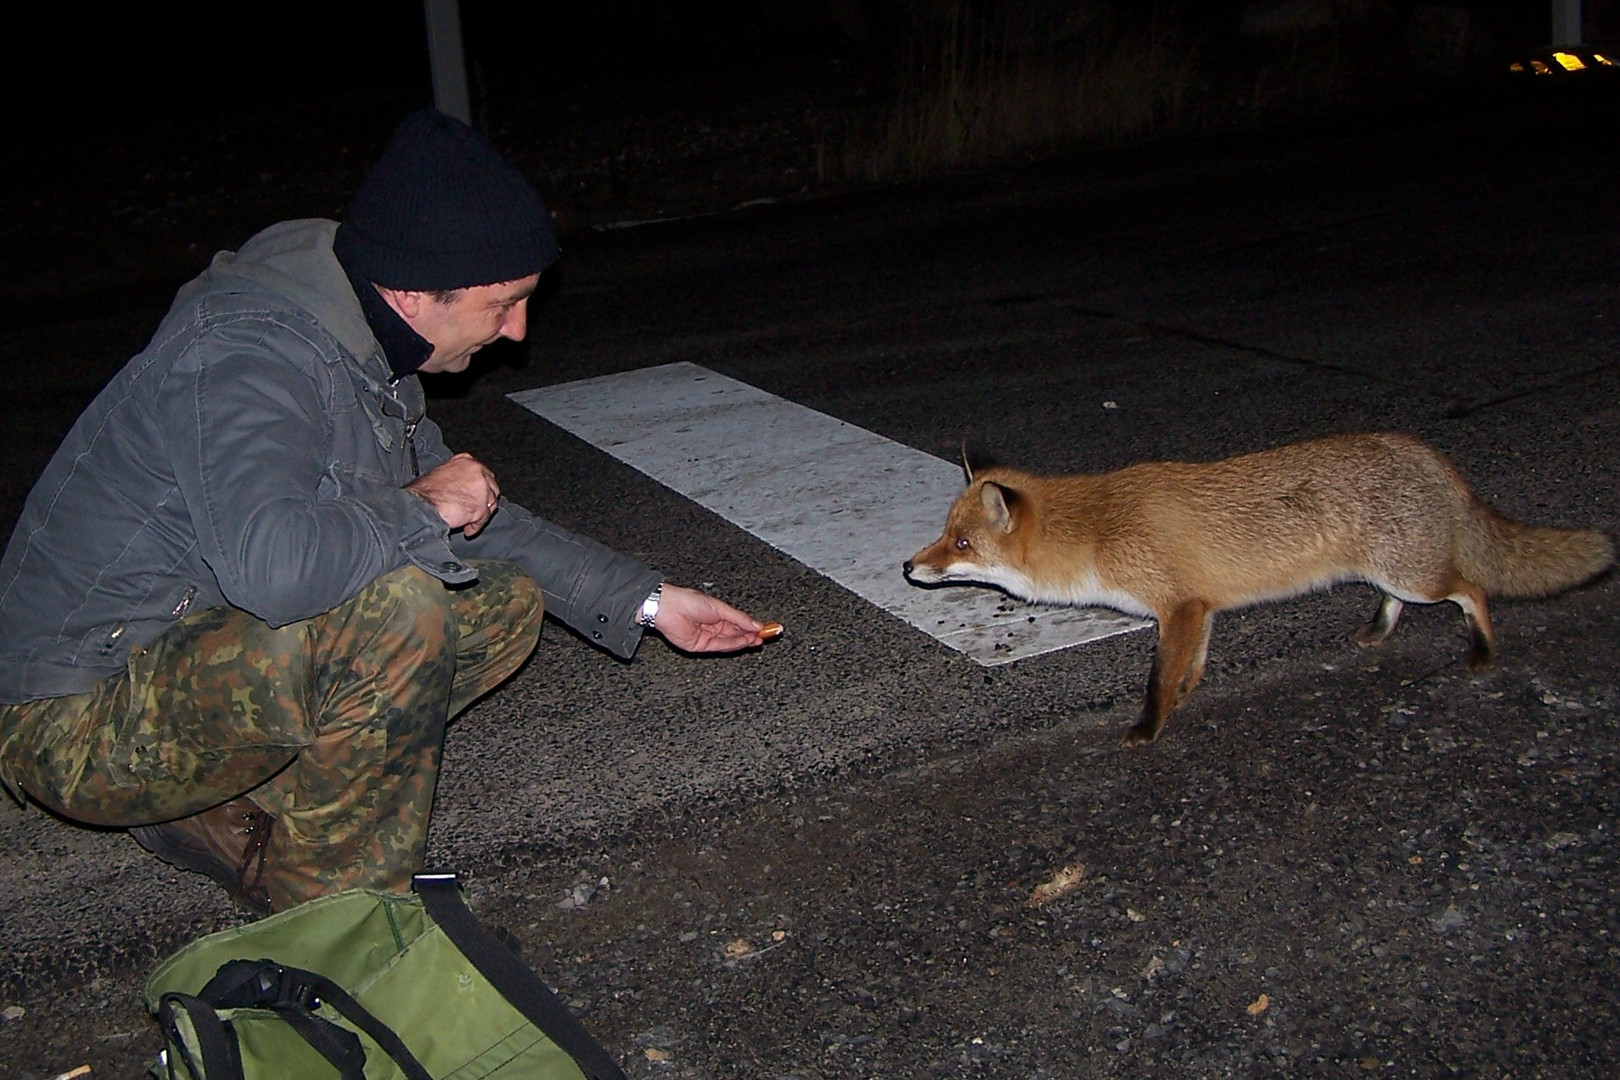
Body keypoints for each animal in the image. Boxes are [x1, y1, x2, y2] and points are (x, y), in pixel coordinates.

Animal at [907, 433, 1613, 748]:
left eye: (961, 545)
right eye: (945, 534)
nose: (910, 567)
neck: (1100, 532)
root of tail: (1422, 450)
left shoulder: (1180, 607)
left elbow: (1158, 679)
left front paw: (1150, 727)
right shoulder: (1199, 608)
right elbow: (1189, 670)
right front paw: (1185, 700)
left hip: (1418, 574)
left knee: (1474, 591)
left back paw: (1483, 650)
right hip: (1391, 573)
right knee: (1404, 600)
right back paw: (1378, 629)